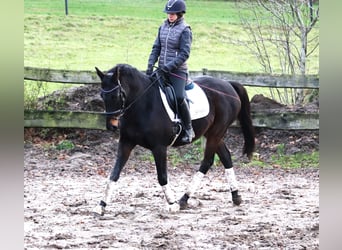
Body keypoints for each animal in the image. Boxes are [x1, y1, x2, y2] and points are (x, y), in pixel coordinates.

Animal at [92, 64, 255, 215]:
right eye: (102, 95)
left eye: (117, 95)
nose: (112, 126)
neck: (143, 105)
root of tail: (228, 84)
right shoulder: (126, 143)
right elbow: (114, 175)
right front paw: (101, 206)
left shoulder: (159, 147)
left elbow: (162, 177)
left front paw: (172, 204)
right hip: (213, 134)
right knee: (225, 157)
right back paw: (235, 196)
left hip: (216, 133)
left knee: (207, 162)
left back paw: (183, 199)